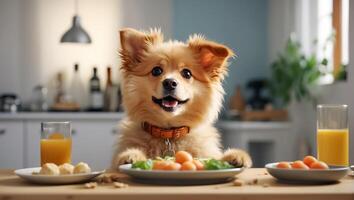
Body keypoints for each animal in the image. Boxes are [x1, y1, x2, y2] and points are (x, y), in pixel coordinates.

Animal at [112, 27, 253, 169]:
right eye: (156, 71)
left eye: (187, 73)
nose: (170, 82)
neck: (169, 135)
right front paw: (131, 156)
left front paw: (236, 156)